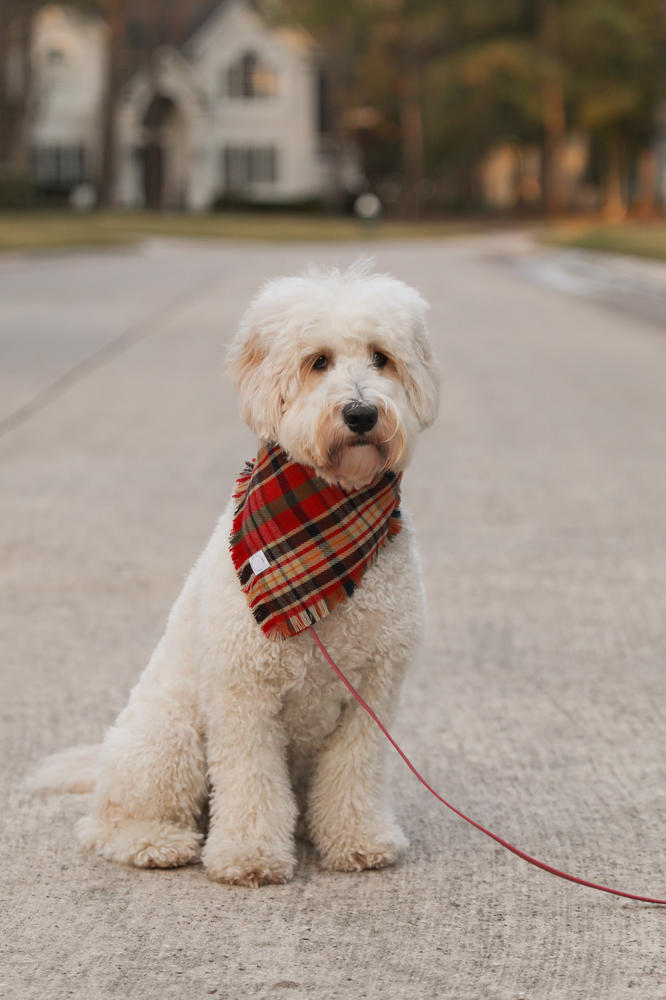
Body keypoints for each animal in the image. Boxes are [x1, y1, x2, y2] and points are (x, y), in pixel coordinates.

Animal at [31, 262, 438, 888]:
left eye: (381, 358)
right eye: (318, 361)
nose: (361, 414)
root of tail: (102, 760)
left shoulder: (372, 694)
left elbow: (356, 773)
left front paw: (359, 841)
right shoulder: (244, 694)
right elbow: (250, 783)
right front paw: (250, 856)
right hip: (170, 739)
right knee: (106, 825)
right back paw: (158, 841)